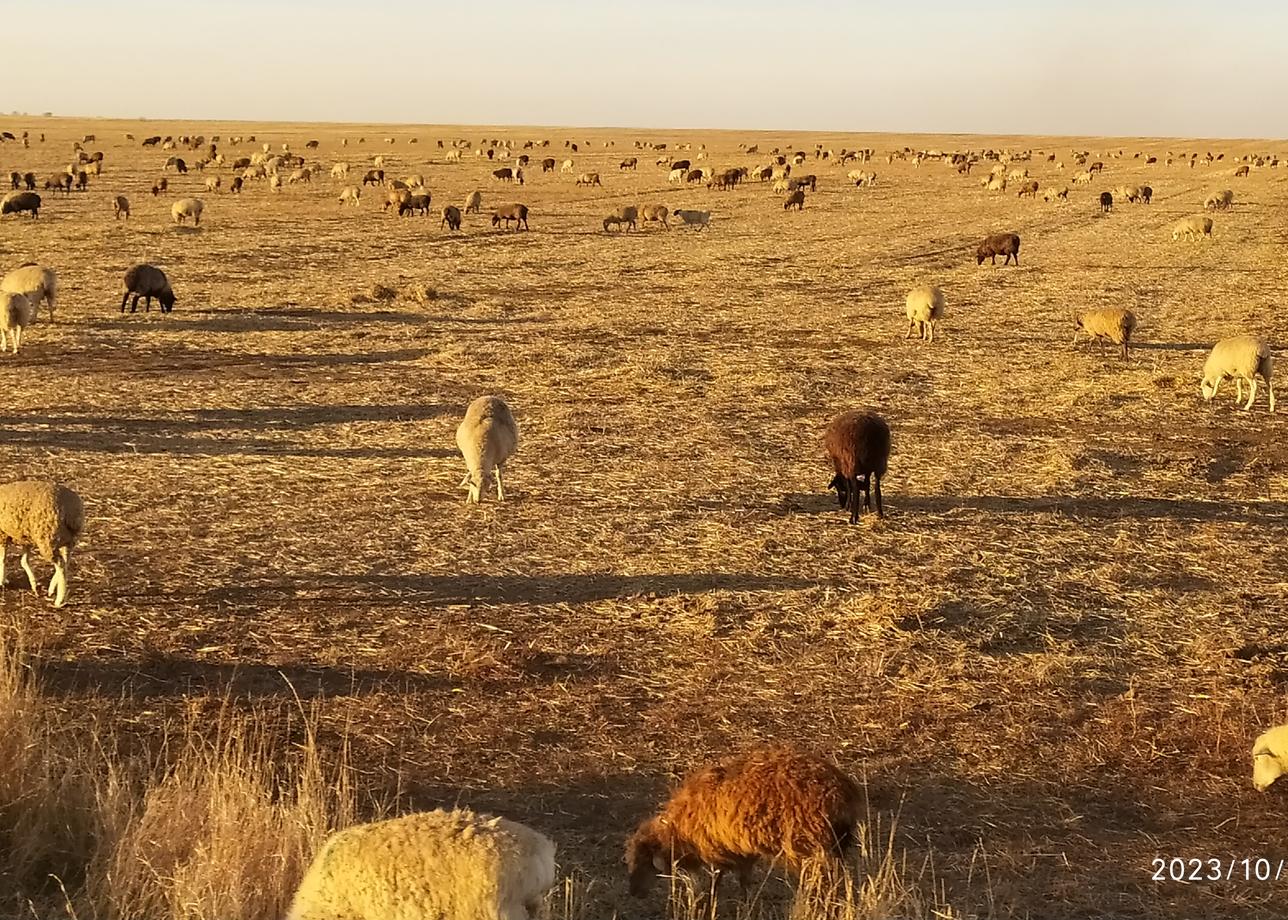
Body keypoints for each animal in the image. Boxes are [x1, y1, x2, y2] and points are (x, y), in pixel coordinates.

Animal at [0, 479, 85, 608]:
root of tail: (72, 510)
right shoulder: (26, 538)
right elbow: (24, 561)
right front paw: (34, 584)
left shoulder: (3, 535)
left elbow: (3, 559)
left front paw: (2, 580)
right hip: (67, 539)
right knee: (66, 561)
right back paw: (52, 588)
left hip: (47, 537)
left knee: (60, 564)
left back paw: (59, 600)